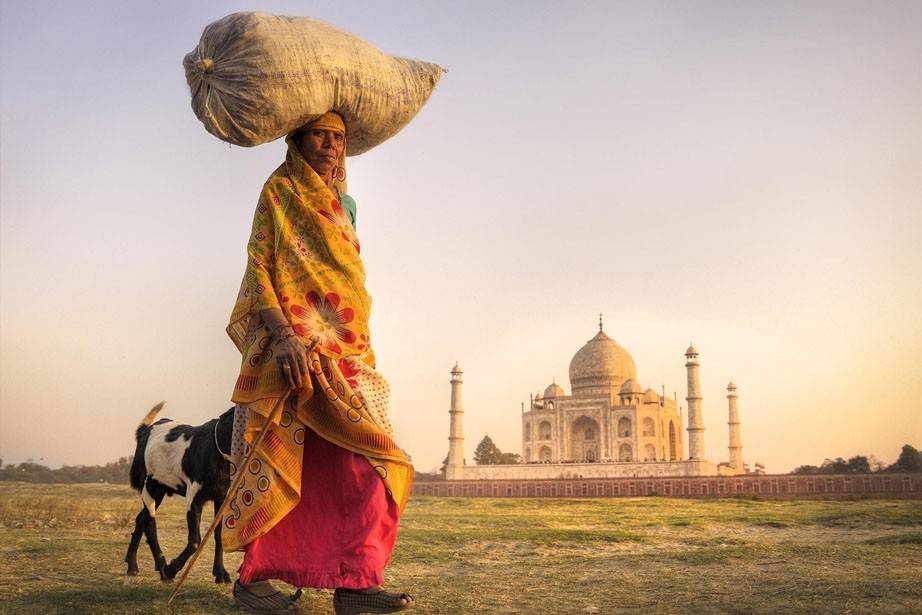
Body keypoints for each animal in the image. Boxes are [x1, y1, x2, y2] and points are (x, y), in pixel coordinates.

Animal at [125, 402, 234, 584]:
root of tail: (144, 430)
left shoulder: (222, 498)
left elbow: (218, 535)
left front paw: (220, 573)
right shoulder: (194, 499)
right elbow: (195, 540)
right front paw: (172, 569)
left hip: (159, 491)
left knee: (141, 519)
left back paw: (132, 564)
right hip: (149, 489)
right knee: (150, 524)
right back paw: (162, 568)